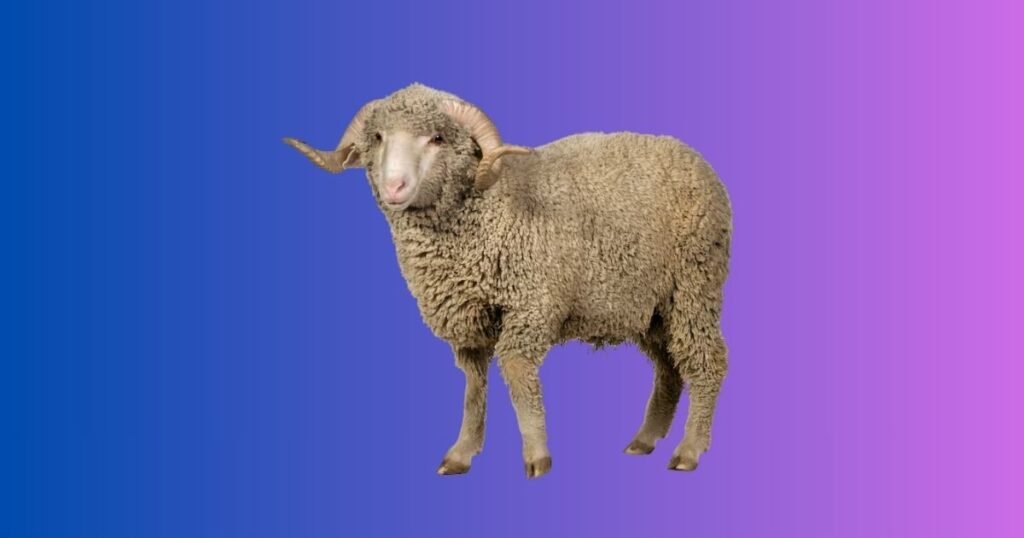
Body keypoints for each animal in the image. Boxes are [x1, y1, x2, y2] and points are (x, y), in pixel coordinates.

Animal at [284, 83, 732, 478]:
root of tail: (697, 161)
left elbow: (518, 375)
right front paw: (461, 453)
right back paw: (646, 438)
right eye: (377, 137)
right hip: (650, 306)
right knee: (669, 366)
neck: (487, 209)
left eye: (437, 138)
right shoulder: (471, 320)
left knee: (707, 361)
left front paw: (537, 456)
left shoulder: (531, 304)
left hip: (694, 285)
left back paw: (689, 449)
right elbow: (473, 386)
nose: (395, 187)